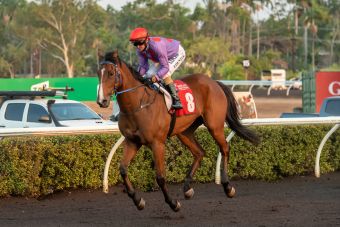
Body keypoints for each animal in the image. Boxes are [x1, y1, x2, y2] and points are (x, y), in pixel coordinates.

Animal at [97, 50, 258, 213]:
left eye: (111, 73)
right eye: (98, 73)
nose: (101, 101)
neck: (138, 105)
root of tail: (214, 82)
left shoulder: (157, 143)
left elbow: (160, 176)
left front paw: (173, 203)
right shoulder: (132, 141)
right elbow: (123, 169)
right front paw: (138, 200)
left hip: (215, 125)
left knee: (224, 148)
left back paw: (227, 187)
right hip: (184, 132)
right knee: (199, 152)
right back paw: (187, 188)